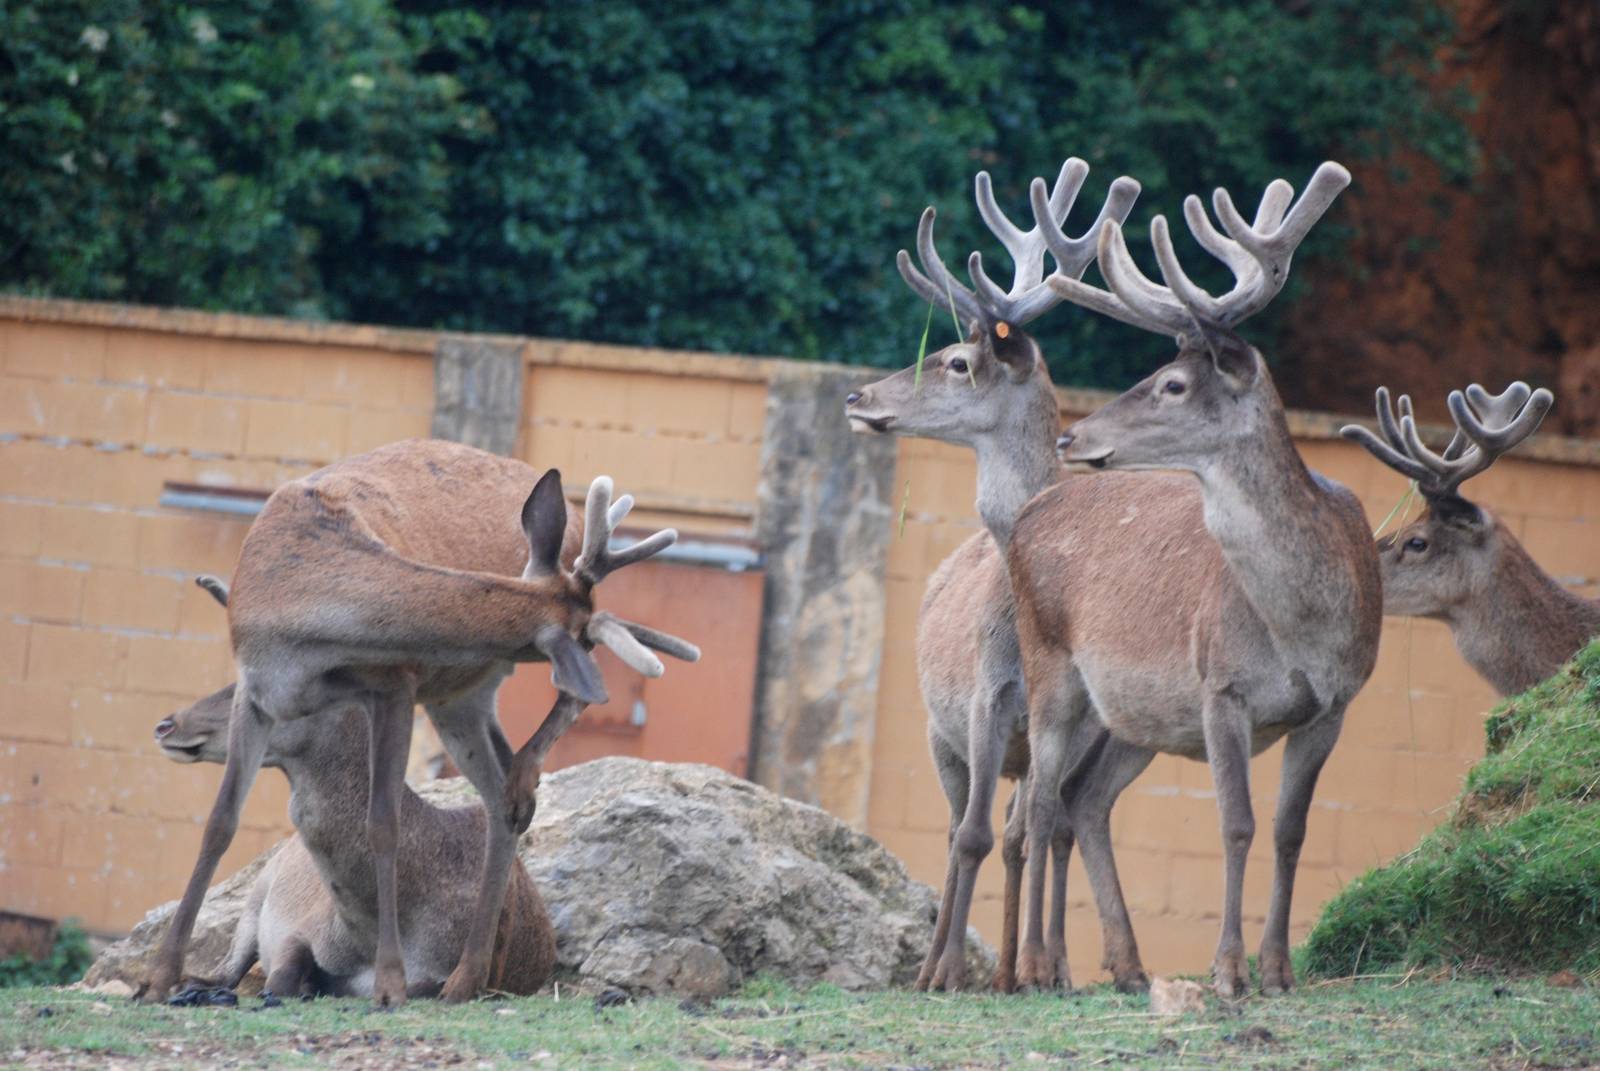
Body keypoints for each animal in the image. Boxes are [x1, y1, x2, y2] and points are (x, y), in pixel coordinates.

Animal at [155, 622, 557, 998]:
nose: (165, 724)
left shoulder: (439, 977)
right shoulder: (304, 929)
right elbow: (280, 977)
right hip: (256, 897)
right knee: (227, 968)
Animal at [847, 158, 1155, 992]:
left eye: (958, 361)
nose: (857, 395)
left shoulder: (1064, 716)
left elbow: (1038, 827)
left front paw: (1041, 966)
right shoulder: (984, 697)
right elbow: (974, 835)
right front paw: (950, 967)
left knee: (1018, 828)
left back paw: (1015, 967)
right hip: (935, 730)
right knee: (958, 826)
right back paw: (935, 965)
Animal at [1000, 162, 1381, 996]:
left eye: (1173, 383)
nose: (1072, 436)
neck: (1303, 622)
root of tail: (1029, 510)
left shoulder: (1336, 702)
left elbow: (1289, 830)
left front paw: (1277, 968)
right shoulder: (1220, 685)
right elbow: (1234, 824)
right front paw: (1228, 969)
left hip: (1131, 713)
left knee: (1082, 799)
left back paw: (1120, 962)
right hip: (1048, 662)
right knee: (1038, 802)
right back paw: (1038, 965)